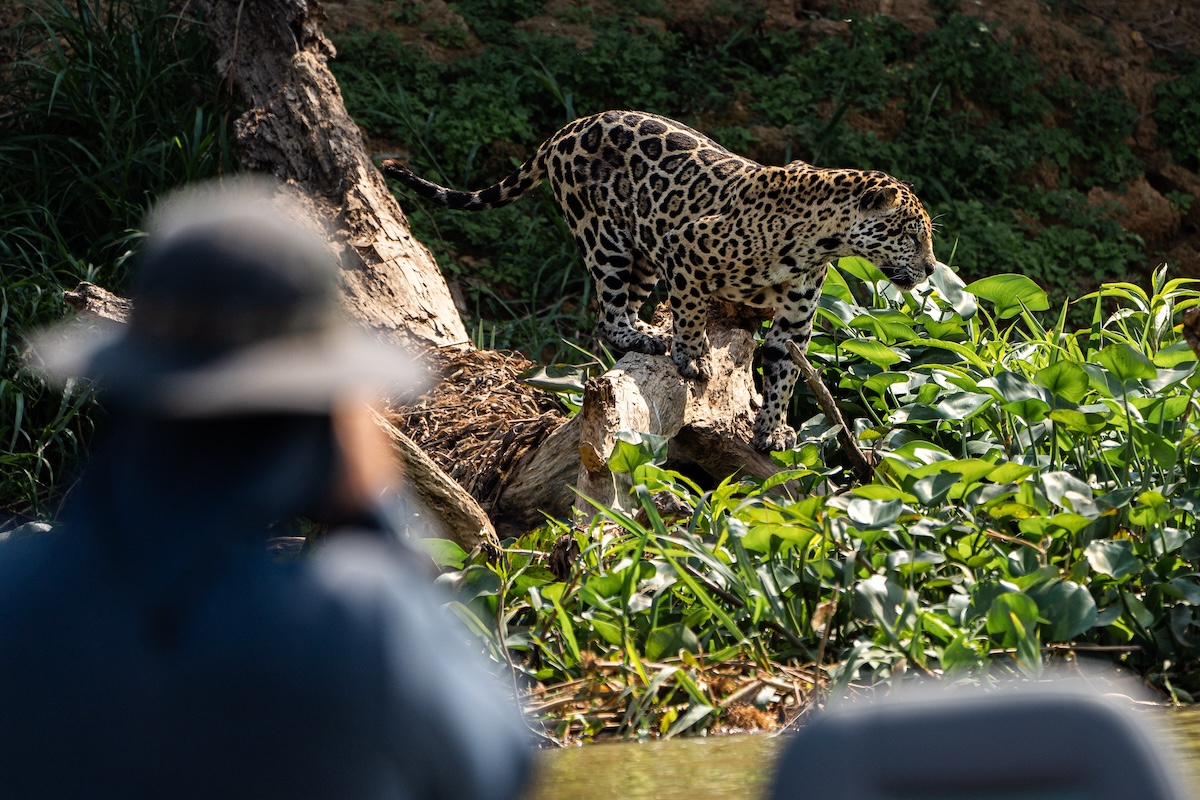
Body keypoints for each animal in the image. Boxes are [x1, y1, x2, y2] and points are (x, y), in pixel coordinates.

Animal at [382, 110, 938, 452]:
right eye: (912, 234)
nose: (933, 269)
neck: (820, 240)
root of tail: (569, 127)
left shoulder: (794, 323)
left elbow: (784, 373)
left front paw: (773, 430)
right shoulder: (684, 247)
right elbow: (691, 309)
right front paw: (692, 357)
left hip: (642, 253)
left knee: (625, 304)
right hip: (606, 237)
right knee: (609, 316)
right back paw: (646, 338)